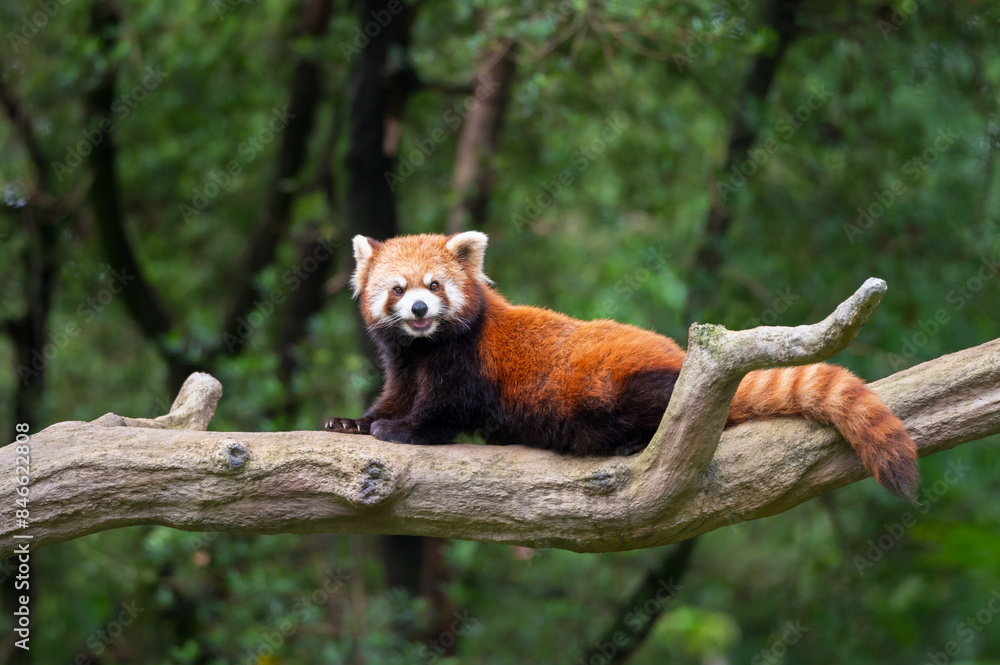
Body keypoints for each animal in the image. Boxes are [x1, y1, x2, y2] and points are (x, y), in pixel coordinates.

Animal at [328, 231, 920, 496]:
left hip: (625, 384)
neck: (426, 347)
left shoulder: (468, 363)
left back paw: (633, 442)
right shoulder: (405, 361)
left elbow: (444, 409)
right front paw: (354, 421)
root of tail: (683, 358)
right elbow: (394, 392)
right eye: (397, 289)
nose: (420, 310)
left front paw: (402, 430)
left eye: (434, 286)